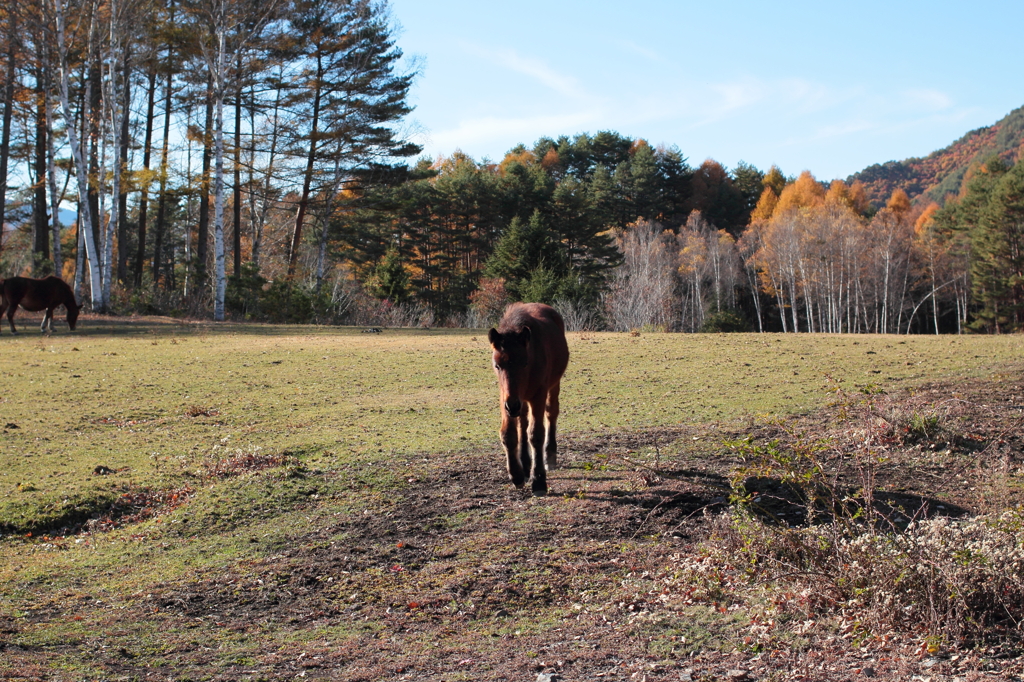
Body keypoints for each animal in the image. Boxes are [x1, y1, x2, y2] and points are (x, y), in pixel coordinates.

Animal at [485, 303, 569, 493]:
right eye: (497, 365)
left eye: (524, 363)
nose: (513, 406)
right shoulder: (505, 398)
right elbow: (509, 434)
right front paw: (516, 474)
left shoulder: (538, 395)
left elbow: (536, 434)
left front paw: (538, 480)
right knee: (522, 423)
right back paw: (524, 463)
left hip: (552, 386)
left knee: (551, 413)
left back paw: (549, 456)